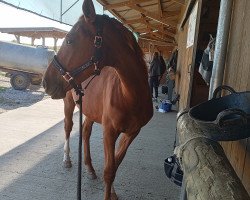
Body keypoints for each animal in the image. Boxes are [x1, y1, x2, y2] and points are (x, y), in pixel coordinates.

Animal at [42, 0, 152, 198]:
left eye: (69, 40)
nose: (45, 82)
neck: (130, 96)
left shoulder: (132, 132)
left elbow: (115, 164)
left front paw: (113, 192)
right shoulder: (109, 132)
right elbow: (109, 171)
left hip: (91, 111)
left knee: (85, 131)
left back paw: (89, 168)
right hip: (69, 103)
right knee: (68, 127)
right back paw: (67, 159)